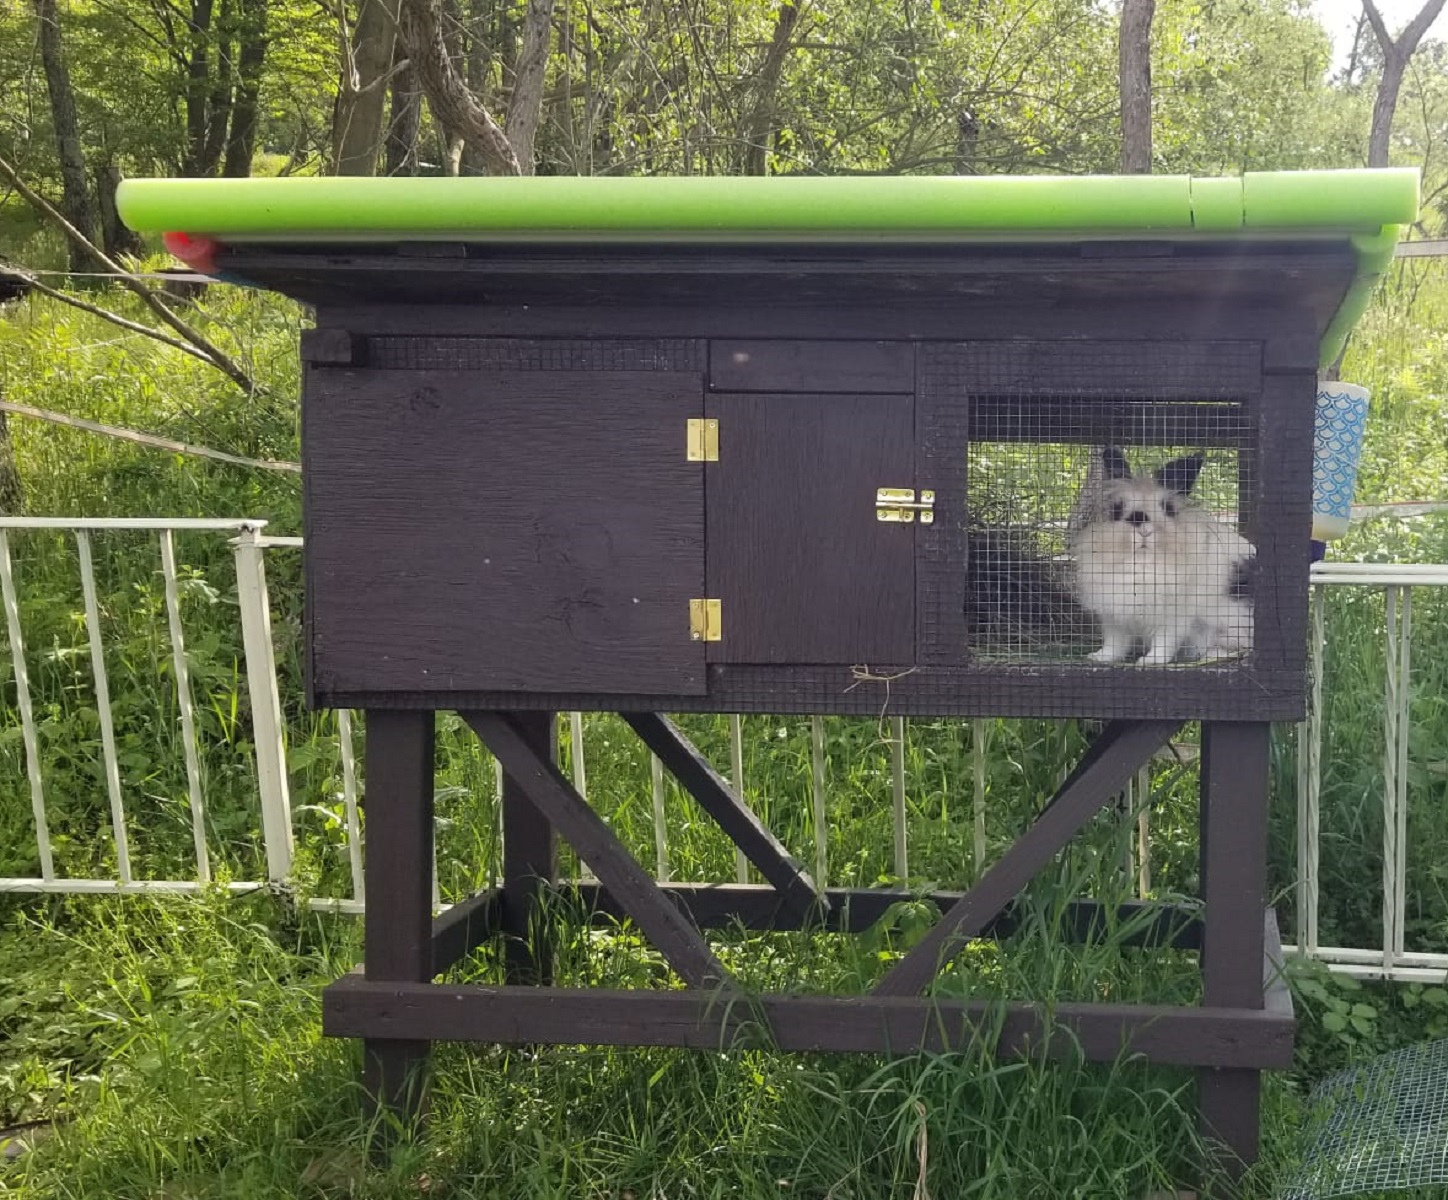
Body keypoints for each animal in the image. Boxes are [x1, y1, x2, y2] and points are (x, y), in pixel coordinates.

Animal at [1069, 447, 1255, 665]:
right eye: (1117, 509)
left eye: (1168, 508)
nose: (1141, 523)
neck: (1141, 564)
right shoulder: (1114, 615)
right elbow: (1115, 642)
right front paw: (1100, 657)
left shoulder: (1173, 616)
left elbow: (1164, 640)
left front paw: (1150, 661)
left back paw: (1211, 655)